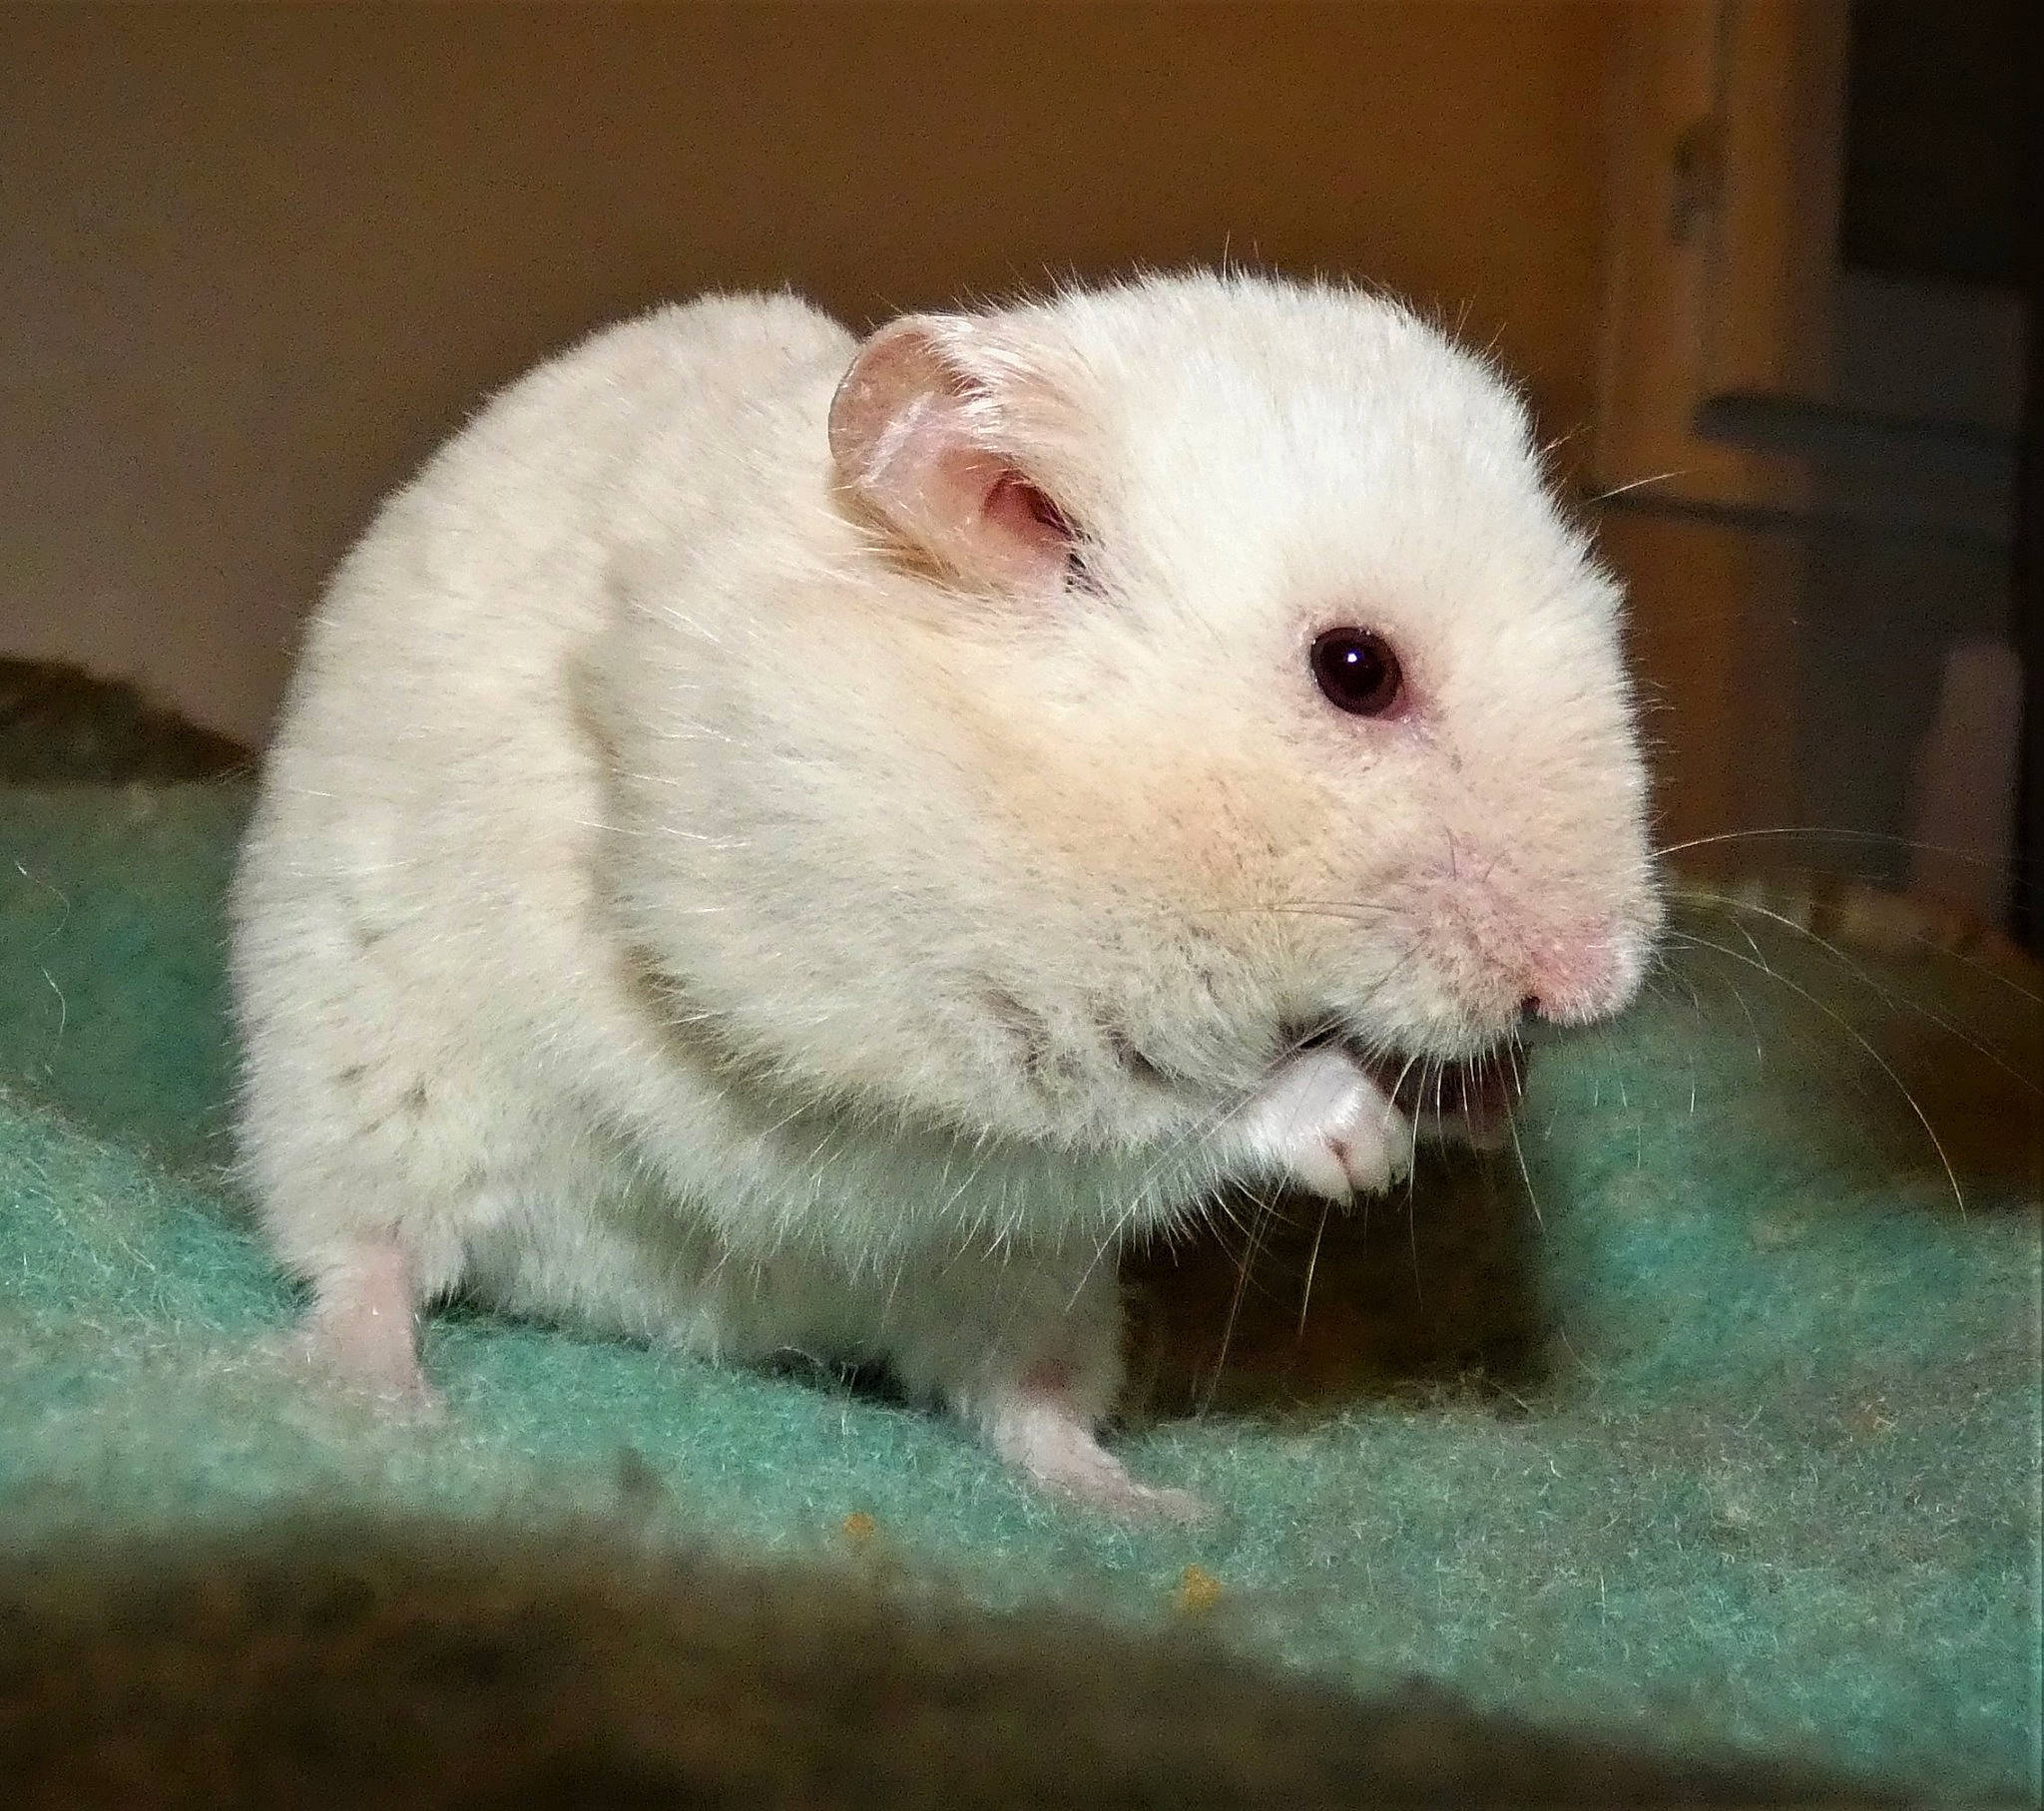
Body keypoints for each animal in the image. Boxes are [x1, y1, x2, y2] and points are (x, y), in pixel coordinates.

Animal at [229, 272, 1661, 1516]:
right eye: (1355, 670)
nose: (1598, 987)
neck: (1087, 791)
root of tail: (662, 1316)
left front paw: (1479, 1102)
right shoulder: (863, 1008)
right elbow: (1145, 1113)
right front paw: (1365, 1145)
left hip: (1029, 1294)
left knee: (1017, 1401)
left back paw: (1148, 1508)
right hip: (362, 1089)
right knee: (367, 1256)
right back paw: (378, 1405)